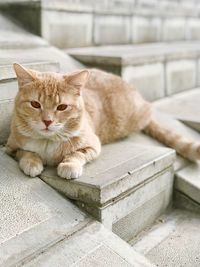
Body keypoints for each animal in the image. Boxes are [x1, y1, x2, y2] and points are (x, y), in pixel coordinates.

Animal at [5, 63, 200, 179]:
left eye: (62, 107)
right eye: (35, 104)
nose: (47, 121)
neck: (47, 142)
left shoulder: (92, 146)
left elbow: (76, 154)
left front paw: (68, 165)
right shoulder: (10, 147)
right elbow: (26, 152)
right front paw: (32, 162)